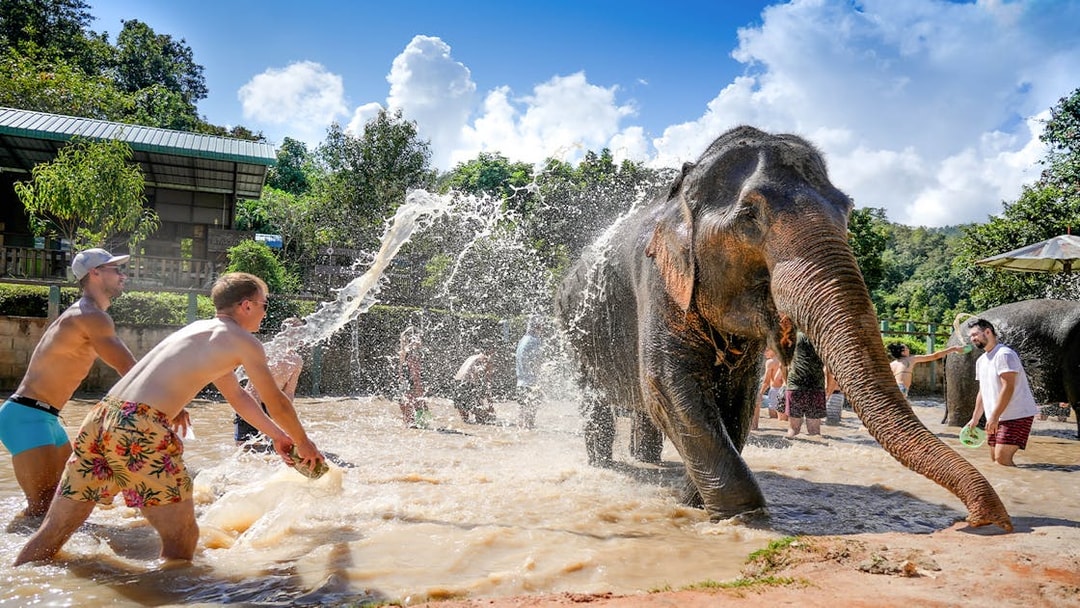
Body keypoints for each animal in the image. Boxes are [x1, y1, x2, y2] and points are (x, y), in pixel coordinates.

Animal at [555, 125, 1011, 531]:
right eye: (749, 215)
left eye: (846, 208)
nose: (986, 521)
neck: (682, 192)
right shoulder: (657, 278)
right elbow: (668, 384)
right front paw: (744, 517)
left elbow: (737, 396)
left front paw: (694, 501)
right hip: (573, 331)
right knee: (601, 400)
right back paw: (605, 464)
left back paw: (648, 463)